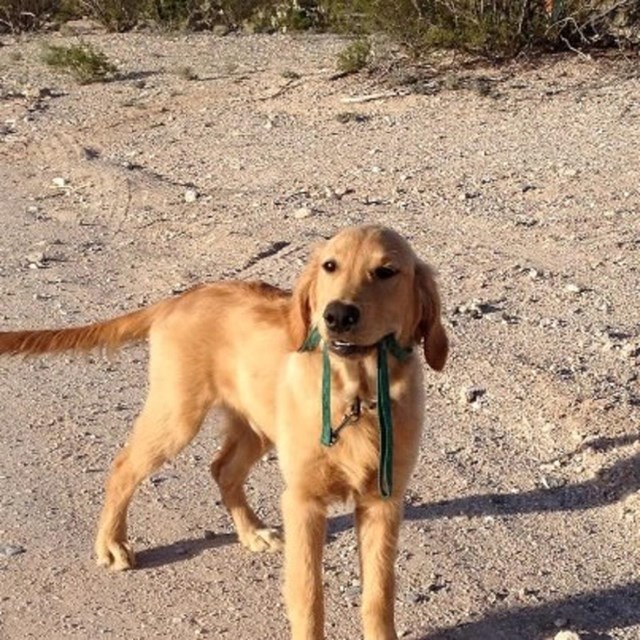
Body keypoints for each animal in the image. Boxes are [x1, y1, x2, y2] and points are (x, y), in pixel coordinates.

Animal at [0, 226, 448, 640]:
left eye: (386, 271)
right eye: (330, 266)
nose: (337, 315)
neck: (356, 395)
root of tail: (178, 299)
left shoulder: (383, 502)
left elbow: (379, 596)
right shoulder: (303, 501)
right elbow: (308, 595)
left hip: (255, 424)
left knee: (223, 469)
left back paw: (252, 532)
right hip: (178, 414)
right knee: (125, 465)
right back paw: (111, 544)